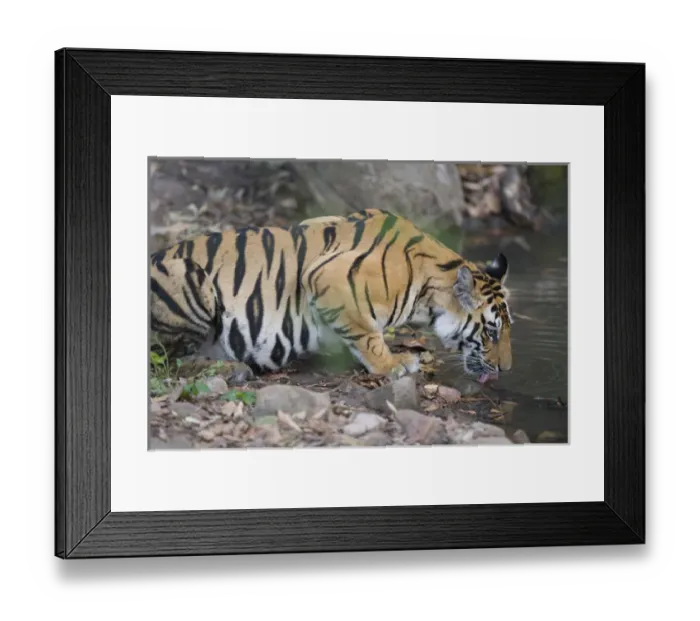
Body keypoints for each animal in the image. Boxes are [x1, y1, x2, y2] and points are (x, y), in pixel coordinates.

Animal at [149, 208, 513, 383]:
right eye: (491, 332)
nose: (506, 369)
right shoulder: (327, 279)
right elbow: (368, 335)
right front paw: (394, 363)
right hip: (185, 273)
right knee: (168, 361)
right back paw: (231, 368)